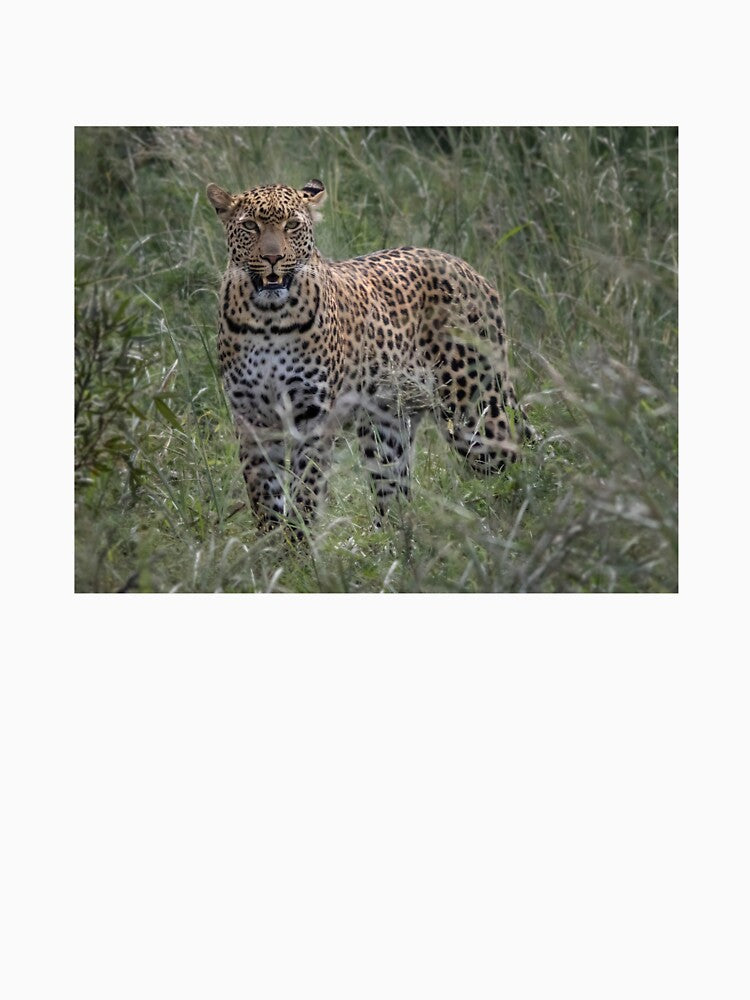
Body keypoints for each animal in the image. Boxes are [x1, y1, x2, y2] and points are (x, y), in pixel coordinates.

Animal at [207, 177, 537, 535]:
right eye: (250, 226)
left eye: (292, 225)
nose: (272, 257)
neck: (268, 320)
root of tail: (467, 269)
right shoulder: (252, 419)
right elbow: (264, 496)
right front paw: (273, 547)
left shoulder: (312, 416)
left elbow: (304, 490)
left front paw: (300, 543)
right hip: (387, 424)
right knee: (395, 492)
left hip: (475, 415)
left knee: (516, 463)